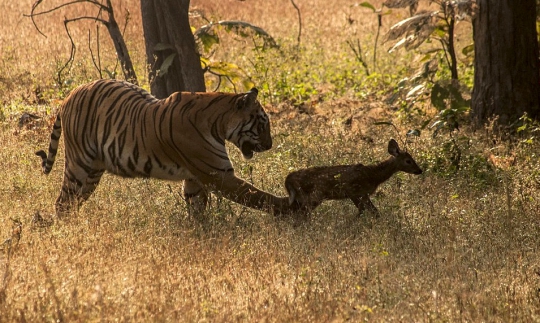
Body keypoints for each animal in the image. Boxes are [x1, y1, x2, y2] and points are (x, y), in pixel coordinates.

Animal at [37, 79, 296, 219]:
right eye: (262, 124)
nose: (270, 145)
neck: (218, 122)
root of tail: (68, 97)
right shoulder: (218, 175)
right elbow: (257, 196)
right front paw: (289, 206)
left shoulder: (195, 179)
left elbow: (197, 208)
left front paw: (200, 231)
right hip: (79, 164)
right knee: (62, 202)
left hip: (93, 172)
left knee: (73, 203)